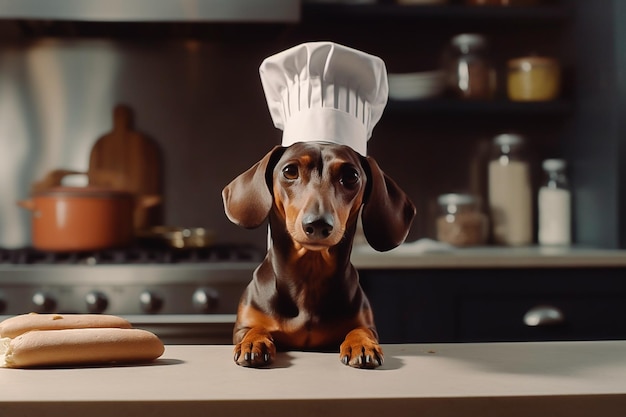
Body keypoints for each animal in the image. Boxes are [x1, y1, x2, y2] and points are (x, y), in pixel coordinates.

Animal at [221, 142, 414, 368]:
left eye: (351, 176)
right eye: (290, 171)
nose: (318, 224)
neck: (309, 276)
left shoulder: (367, 325)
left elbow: (360, 330)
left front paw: (362, 344)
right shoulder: (243, 325)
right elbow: (254, 329)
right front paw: (253, 342)